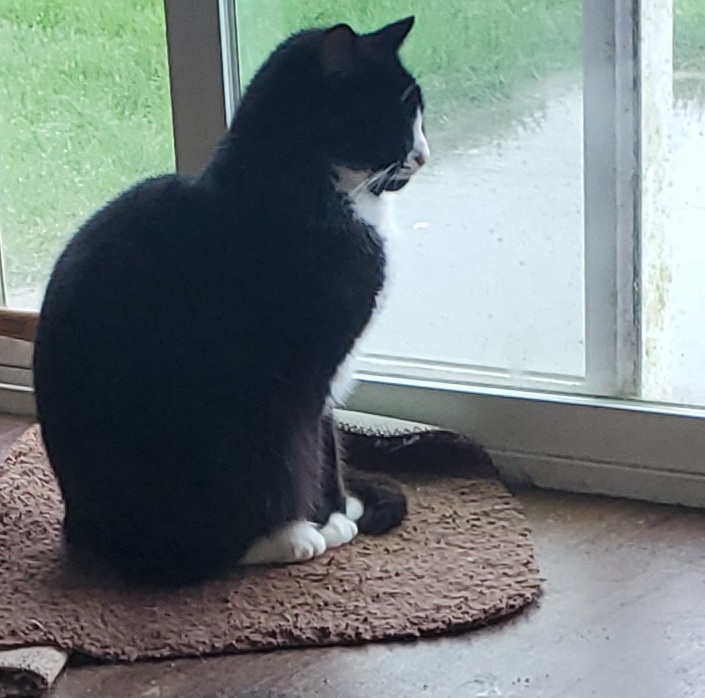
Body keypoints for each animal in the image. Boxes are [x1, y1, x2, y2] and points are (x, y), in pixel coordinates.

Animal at [32, 16, 429, 586]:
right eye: (395, 114)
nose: (423, 154)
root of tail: (84, 528)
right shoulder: (310, 371)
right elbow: (317, 446)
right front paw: (330, 518)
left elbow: (328, 439)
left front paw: (340, 508)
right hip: (233, 434)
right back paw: (287, 538)